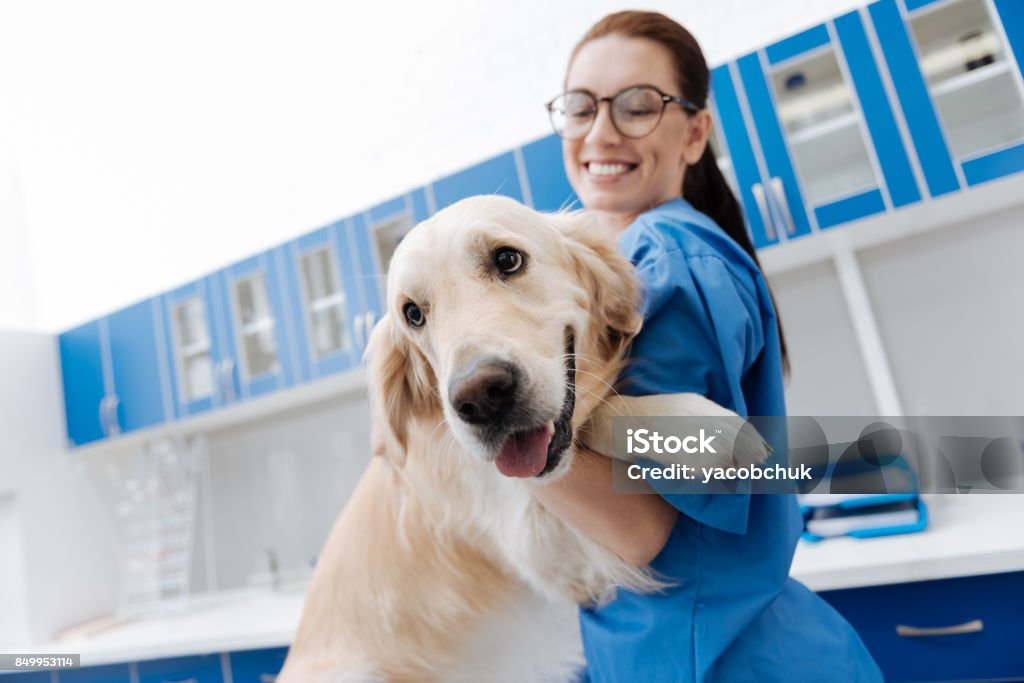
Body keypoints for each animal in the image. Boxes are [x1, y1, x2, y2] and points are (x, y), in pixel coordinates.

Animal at [276, 194, 765, 679]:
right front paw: (705, 428)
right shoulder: (542, 544)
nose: (479, 397)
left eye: (507, 259)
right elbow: (600, 413)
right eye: (412, 313)